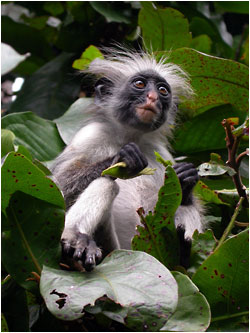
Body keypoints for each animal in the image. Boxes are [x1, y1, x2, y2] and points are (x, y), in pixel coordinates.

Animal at [51, 47, 204, 270]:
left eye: (163, 90)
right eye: (139, 84)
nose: (152, 97)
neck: (131, 136)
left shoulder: (162, 154)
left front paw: (186, 178)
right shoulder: (90, 135)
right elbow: (59, 186)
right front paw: (124, 158)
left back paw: (183, 248)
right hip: (109, 248)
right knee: (107, 183)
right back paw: (76, 237)